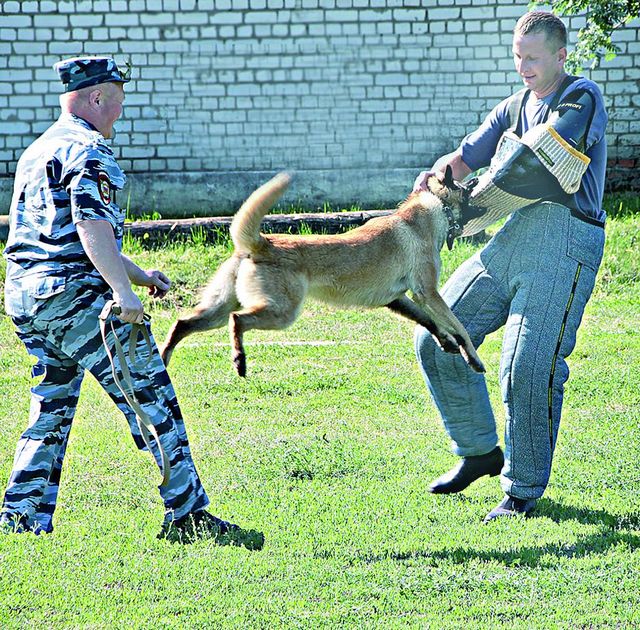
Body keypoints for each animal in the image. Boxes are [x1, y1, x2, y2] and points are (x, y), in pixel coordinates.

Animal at [161, 170, 484, 376]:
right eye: (467, 187)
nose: (479, 178)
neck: (434, 209)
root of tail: (261, 243)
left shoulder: (398, 299)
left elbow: (432, 322)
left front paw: (447, 343)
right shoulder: (427, 292)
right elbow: (459, 326)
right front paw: (474, 358)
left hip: (218, 307)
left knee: (182, 324)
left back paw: (164, 359)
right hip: (281, 312)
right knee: (237, 320)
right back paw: (239, 360)